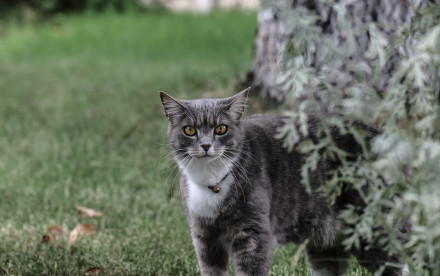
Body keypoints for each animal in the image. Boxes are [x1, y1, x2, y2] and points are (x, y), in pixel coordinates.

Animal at [159, 88, 410, 276]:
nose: (205, 145)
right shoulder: (204, 237)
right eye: (189, 130)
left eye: (221, 129)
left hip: (370, 226)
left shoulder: (254, 236)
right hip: (326, 243)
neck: (212, 182)